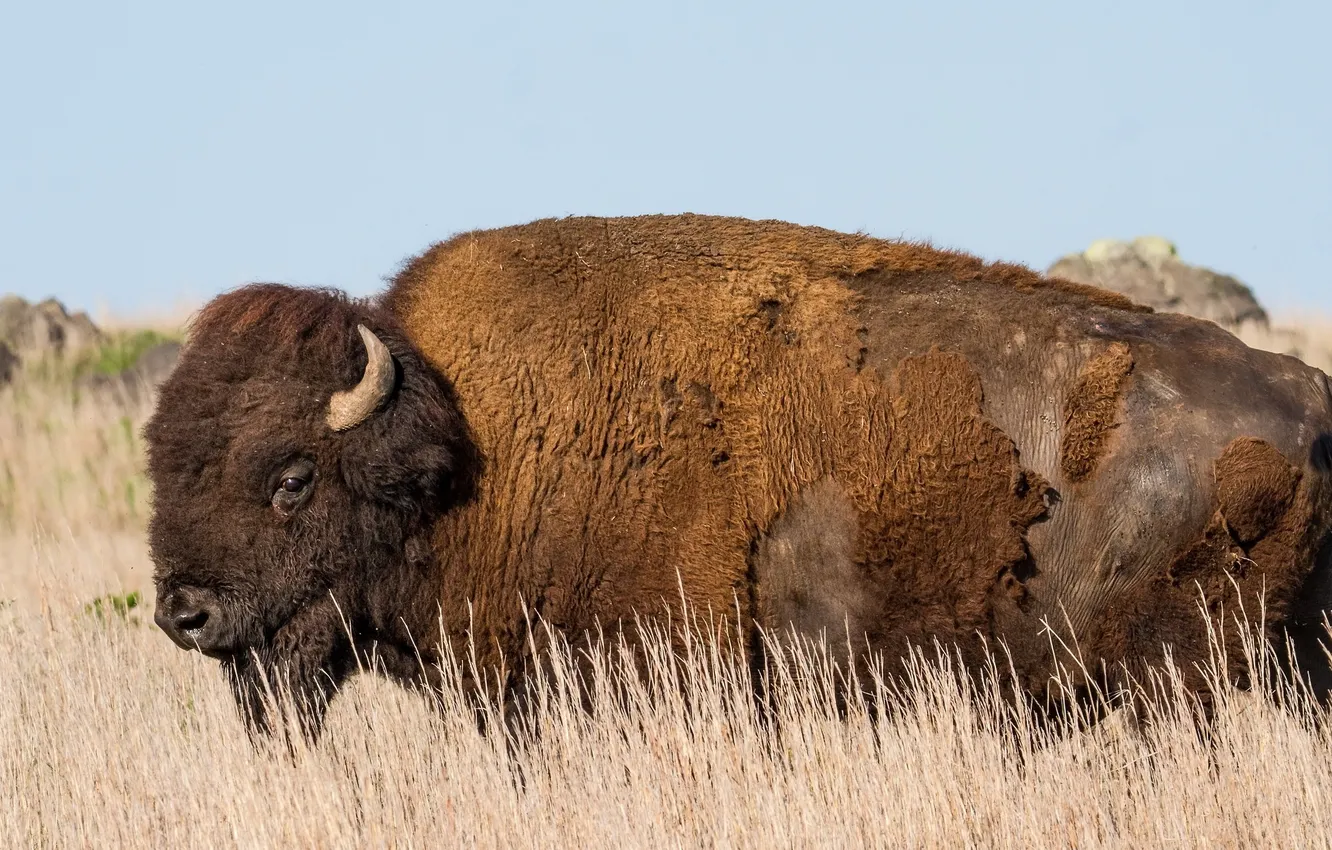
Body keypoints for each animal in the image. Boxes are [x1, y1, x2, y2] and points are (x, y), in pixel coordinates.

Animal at [145, 214, 1332, 738]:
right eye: (163, 458)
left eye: (293, 476)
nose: (184, 613)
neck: (473, 440)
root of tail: (1308, 397)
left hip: (1175, 676)